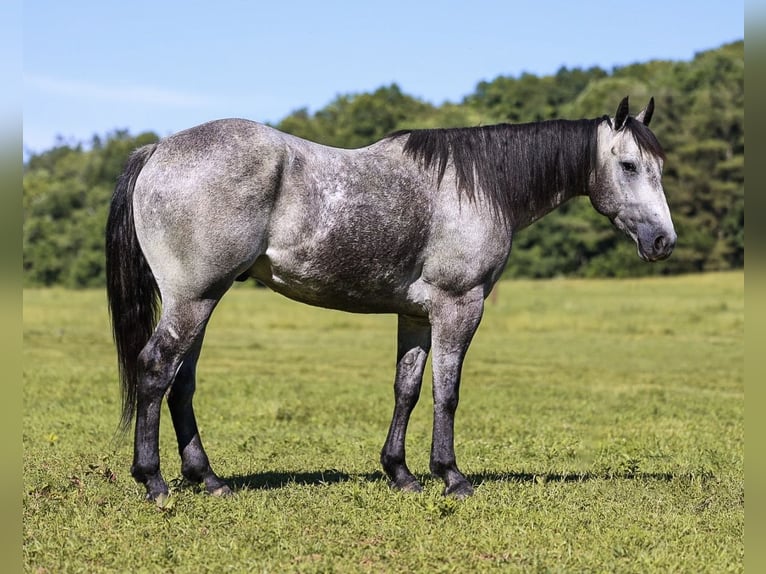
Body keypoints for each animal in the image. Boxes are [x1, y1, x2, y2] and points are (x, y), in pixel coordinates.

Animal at [106, 96, 675, 500]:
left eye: (660, 168)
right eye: (629, 166)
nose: (663, 241)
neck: (479, 185)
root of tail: (157, 150)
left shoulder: (416, 315)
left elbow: (407, 389)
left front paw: (400, 473)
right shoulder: (459, 307)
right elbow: (447, 392)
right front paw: (451, 476)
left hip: (203, 301)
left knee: (181, 384)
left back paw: (209, 479)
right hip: (193, 299)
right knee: (156, 369)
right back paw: (153, 481)